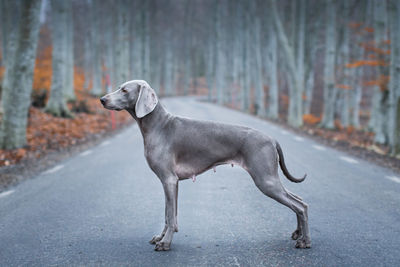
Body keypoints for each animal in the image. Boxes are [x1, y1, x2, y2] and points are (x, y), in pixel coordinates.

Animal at [98, 79, 310, 251]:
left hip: (265, 179)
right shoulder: (172, 182)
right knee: (299, 199)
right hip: (269, 178)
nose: (101, 99)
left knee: (300, 205)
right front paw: (161, 237)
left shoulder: (168, 179)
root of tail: (272, 139)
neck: (158, 125)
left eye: (125, 90)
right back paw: (297, 233)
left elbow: (169, 215)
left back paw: (305, 241)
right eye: (119, 87)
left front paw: (165, 243)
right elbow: (169, 214)